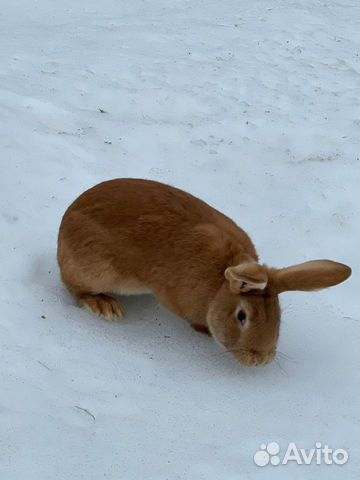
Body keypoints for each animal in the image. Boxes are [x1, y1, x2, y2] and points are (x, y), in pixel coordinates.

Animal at [57, 180, 352, 368]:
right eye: (242, 316)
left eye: (278, 316)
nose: (260, 359)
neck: (218, 287)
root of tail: (65, 224)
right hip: (96, 270)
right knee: (76, 288)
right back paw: (105, 306)